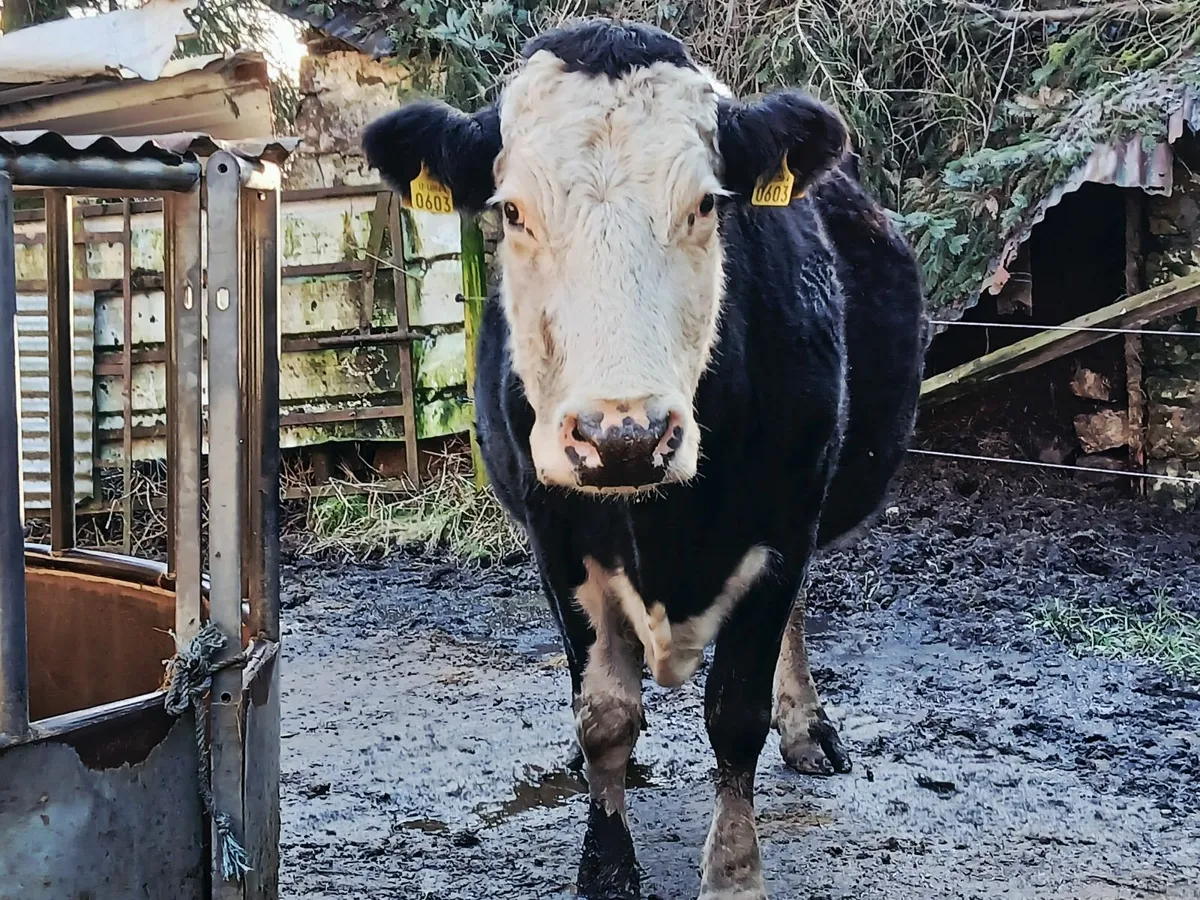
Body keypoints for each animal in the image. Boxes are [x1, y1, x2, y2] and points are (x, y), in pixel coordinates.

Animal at [363, 19, 926, 899]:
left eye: (707, 205)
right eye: (512, 211)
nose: (621, 436)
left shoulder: (785, 526)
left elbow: (735, 715)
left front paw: (734, 873)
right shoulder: (556, 537)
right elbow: (604, 714)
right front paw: (604, 862)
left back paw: (808, 729)